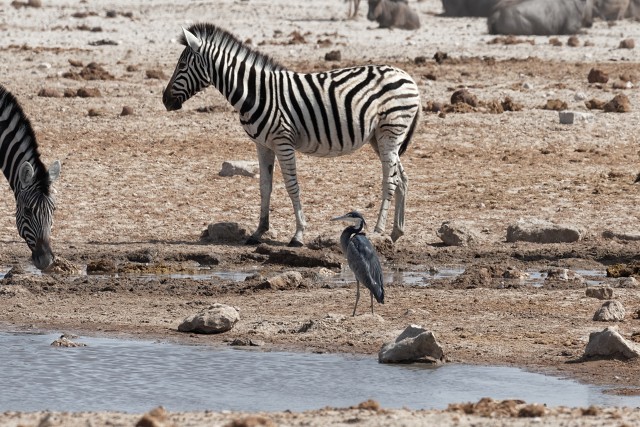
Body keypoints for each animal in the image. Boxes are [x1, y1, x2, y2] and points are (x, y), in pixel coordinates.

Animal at [163, 23, 421, 247]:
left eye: (182, 65)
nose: (165, 100)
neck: (256, 93)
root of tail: (408, 77)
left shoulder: (282, 141)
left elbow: (292, 186)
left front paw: (298, 234)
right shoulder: (263, 144)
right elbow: (265, 186)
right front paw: (258, 232)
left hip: (390, 131)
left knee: (390, 180)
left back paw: (378, 230)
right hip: (380, 137)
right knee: (403, 178)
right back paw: (396, 232)